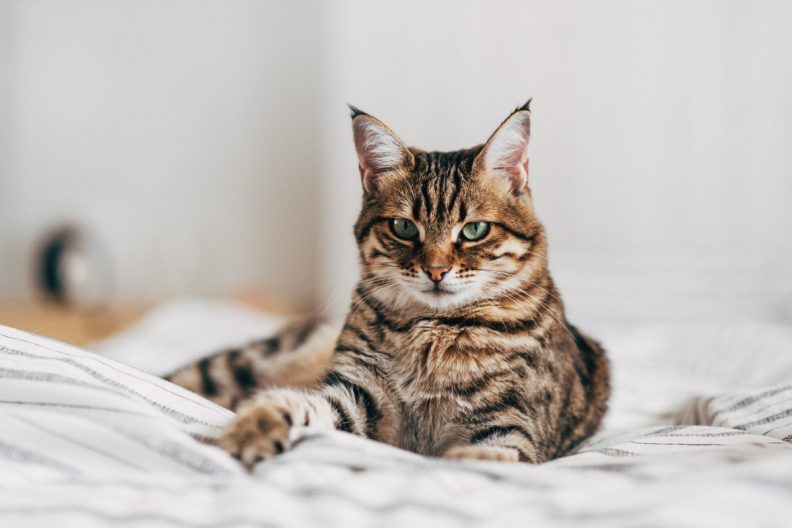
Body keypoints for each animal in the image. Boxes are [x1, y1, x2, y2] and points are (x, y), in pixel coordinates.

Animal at [166, 102, 612, 466]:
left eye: (474, 230)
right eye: (403, 227)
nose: (435, 270)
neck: (433, 330)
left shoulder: (510, 422)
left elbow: (487, 459)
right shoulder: (356, 393)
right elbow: (297, 404)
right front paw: (253, 426)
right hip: (251, 361)